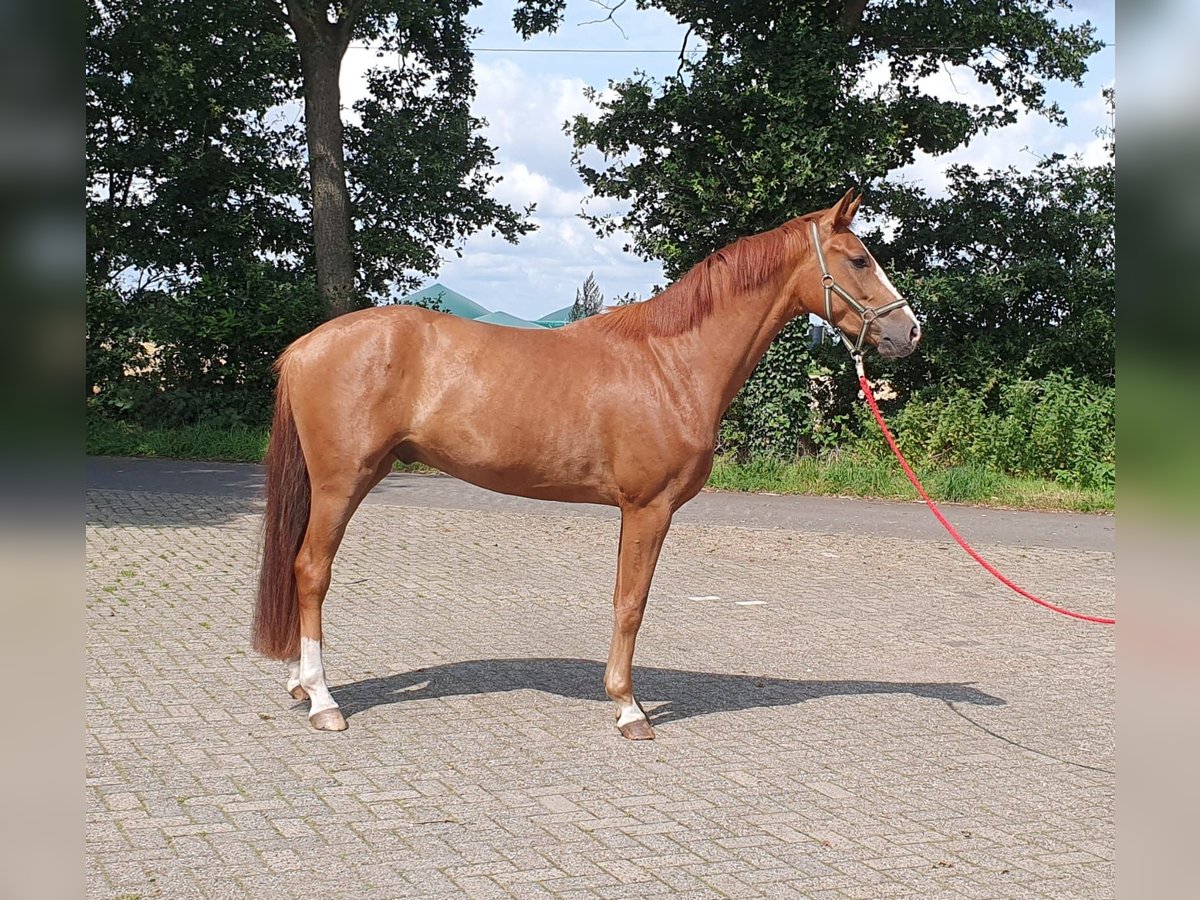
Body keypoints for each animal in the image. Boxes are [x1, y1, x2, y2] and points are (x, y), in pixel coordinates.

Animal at [248, 190, 912, 739]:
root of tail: (304, 347)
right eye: (858, 260)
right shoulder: (649, 509)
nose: (910, 332)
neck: (672, 362)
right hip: (342, 483)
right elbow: (632, 604)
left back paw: (300, 685)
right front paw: (629, 709)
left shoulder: (633, 511)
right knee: (310, 570)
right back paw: (324, 701)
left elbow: (623, 598)